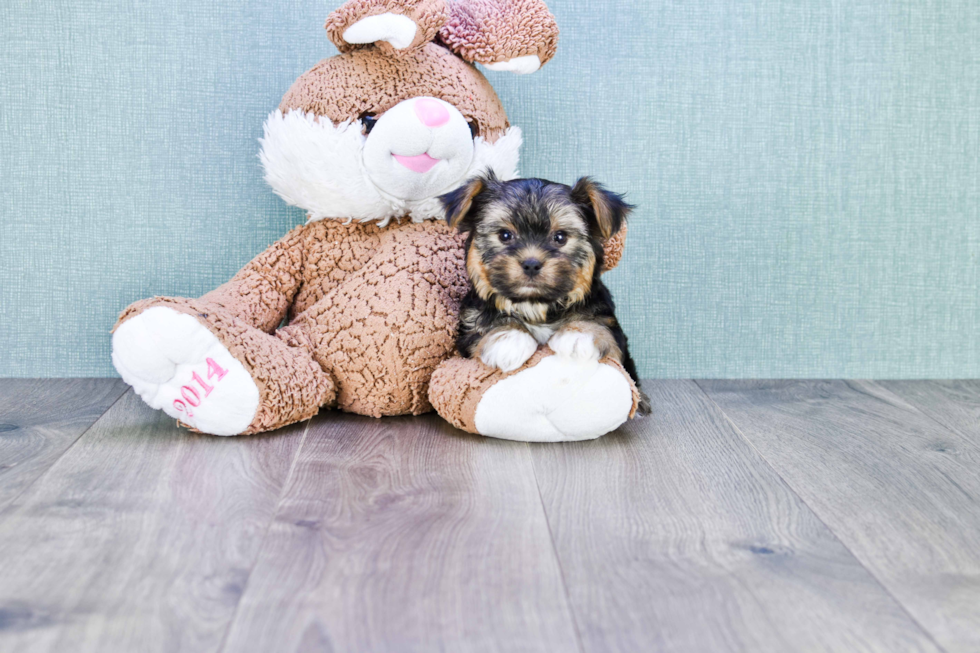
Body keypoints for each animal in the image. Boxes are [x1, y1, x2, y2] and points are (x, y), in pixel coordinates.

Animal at [438, 173, 652, 416]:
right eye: (505, 235)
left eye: (560, 237)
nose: (531, 263)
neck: (535, 305)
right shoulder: (468, 329)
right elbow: (485, 325)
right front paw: (509, 338)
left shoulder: (611, 326)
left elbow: (600, 328)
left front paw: (578, 335)